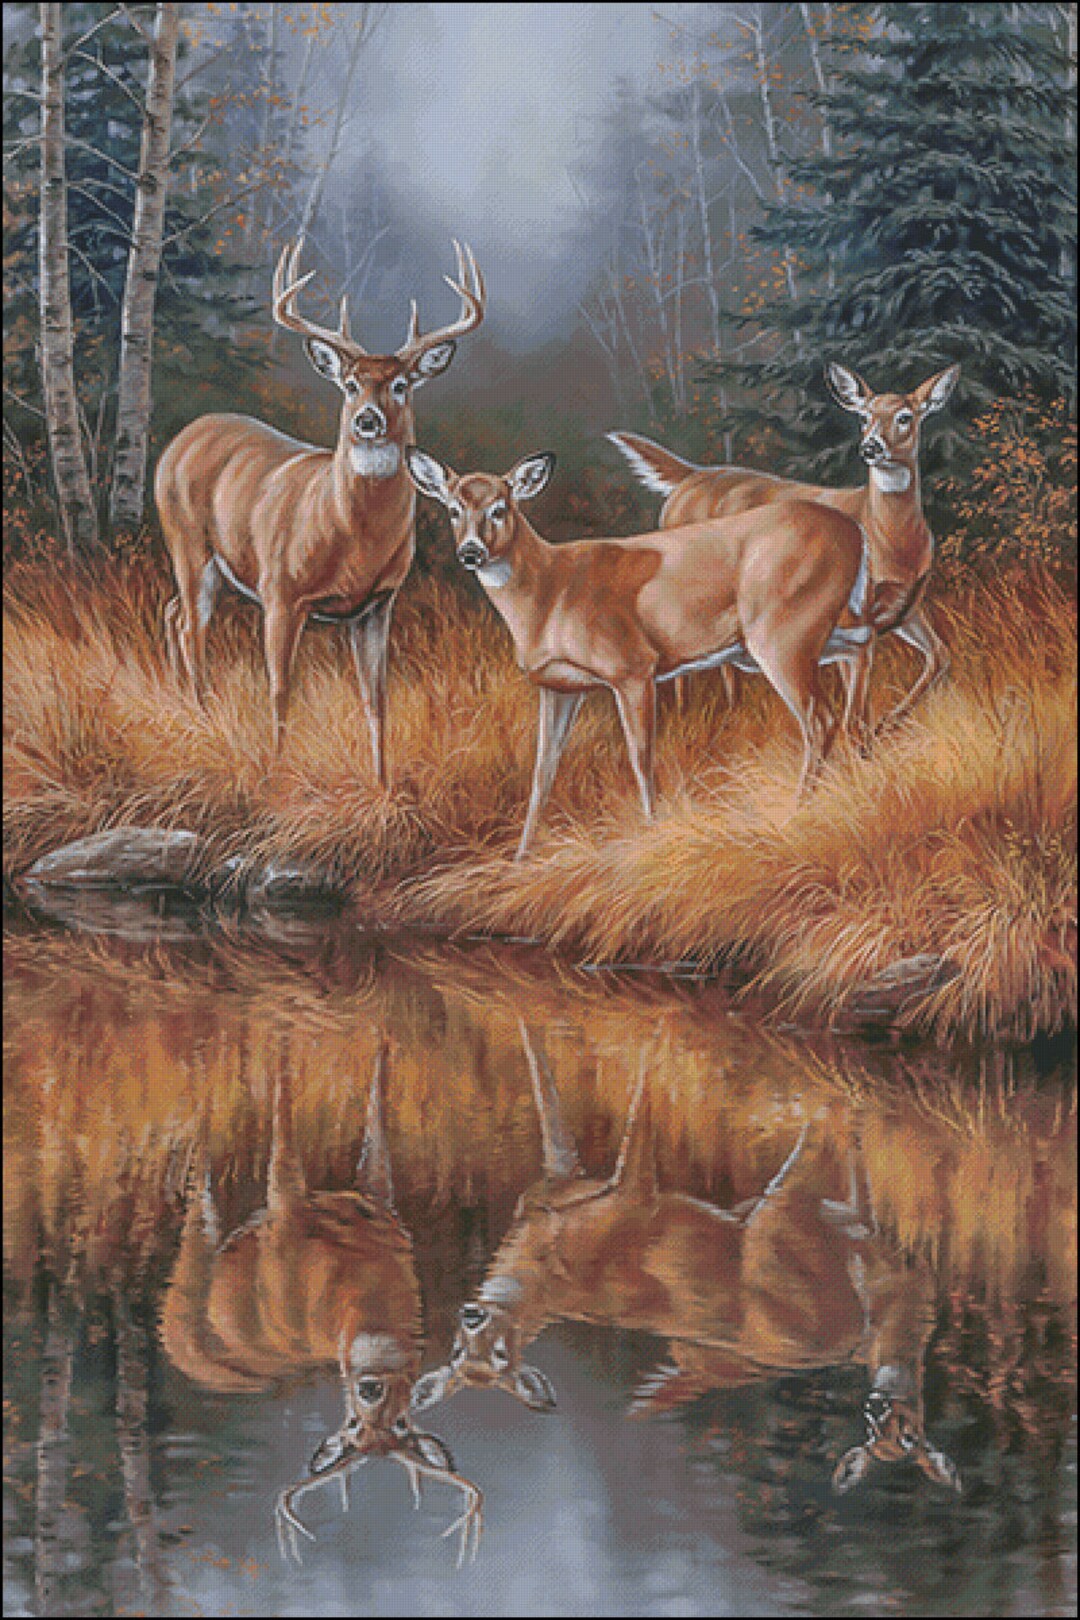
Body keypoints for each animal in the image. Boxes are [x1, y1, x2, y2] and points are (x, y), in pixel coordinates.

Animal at [154, 237, 486, 774]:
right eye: (350, 384)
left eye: (400, 384)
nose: (367, 420)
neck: (352, 539)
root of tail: (180, 438)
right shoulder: (280, 592)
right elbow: (280, 689)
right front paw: (276, 771)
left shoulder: (379, 603)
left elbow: (377, 699)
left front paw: (382, 782)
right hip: (187, 541)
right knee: (190, 628)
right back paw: (200, 718)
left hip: (212, 564)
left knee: (170, 613)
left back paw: (183, 704)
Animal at [158, 1041, 483, 1567]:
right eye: (352, 1425)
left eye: (401, 1424)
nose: (370, 1386)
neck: (358, 1284)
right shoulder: (285, 1211)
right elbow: (284, 1121)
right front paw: (284, 1047)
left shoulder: (381, 1202)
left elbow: (375, 1122)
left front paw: (381, 1043)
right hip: (189, 1285)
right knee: (201, 1204)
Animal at [404, 446, 913, 858]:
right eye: (453, 509)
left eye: (499, 508)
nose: (470, 553)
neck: (548, 595)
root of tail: (857, 531)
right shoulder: (558, 686)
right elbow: (542, 772)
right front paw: (522, 857)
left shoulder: (632, 666)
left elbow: (640, 755)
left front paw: (650, 831)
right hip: (807, 629)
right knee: (862, 653)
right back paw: (860, 767)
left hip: (782, 630)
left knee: (819, 717)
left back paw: (797, 811)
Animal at [411, 1020, 962, 1499]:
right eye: (458, 1354)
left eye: (500, 1358)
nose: (474, 1315)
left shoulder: (630, 1193)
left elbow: (619, 1106)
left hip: (774, 1239)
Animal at [609, 362, 961, 744]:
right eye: (863, 417)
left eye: (905, 417)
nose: (870, 447)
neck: (890, 540)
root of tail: (690, 477)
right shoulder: (852, 615)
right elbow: (856, 707)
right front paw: (869, 740)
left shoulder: (907, 607)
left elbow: (941, 656)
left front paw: (885, 726)